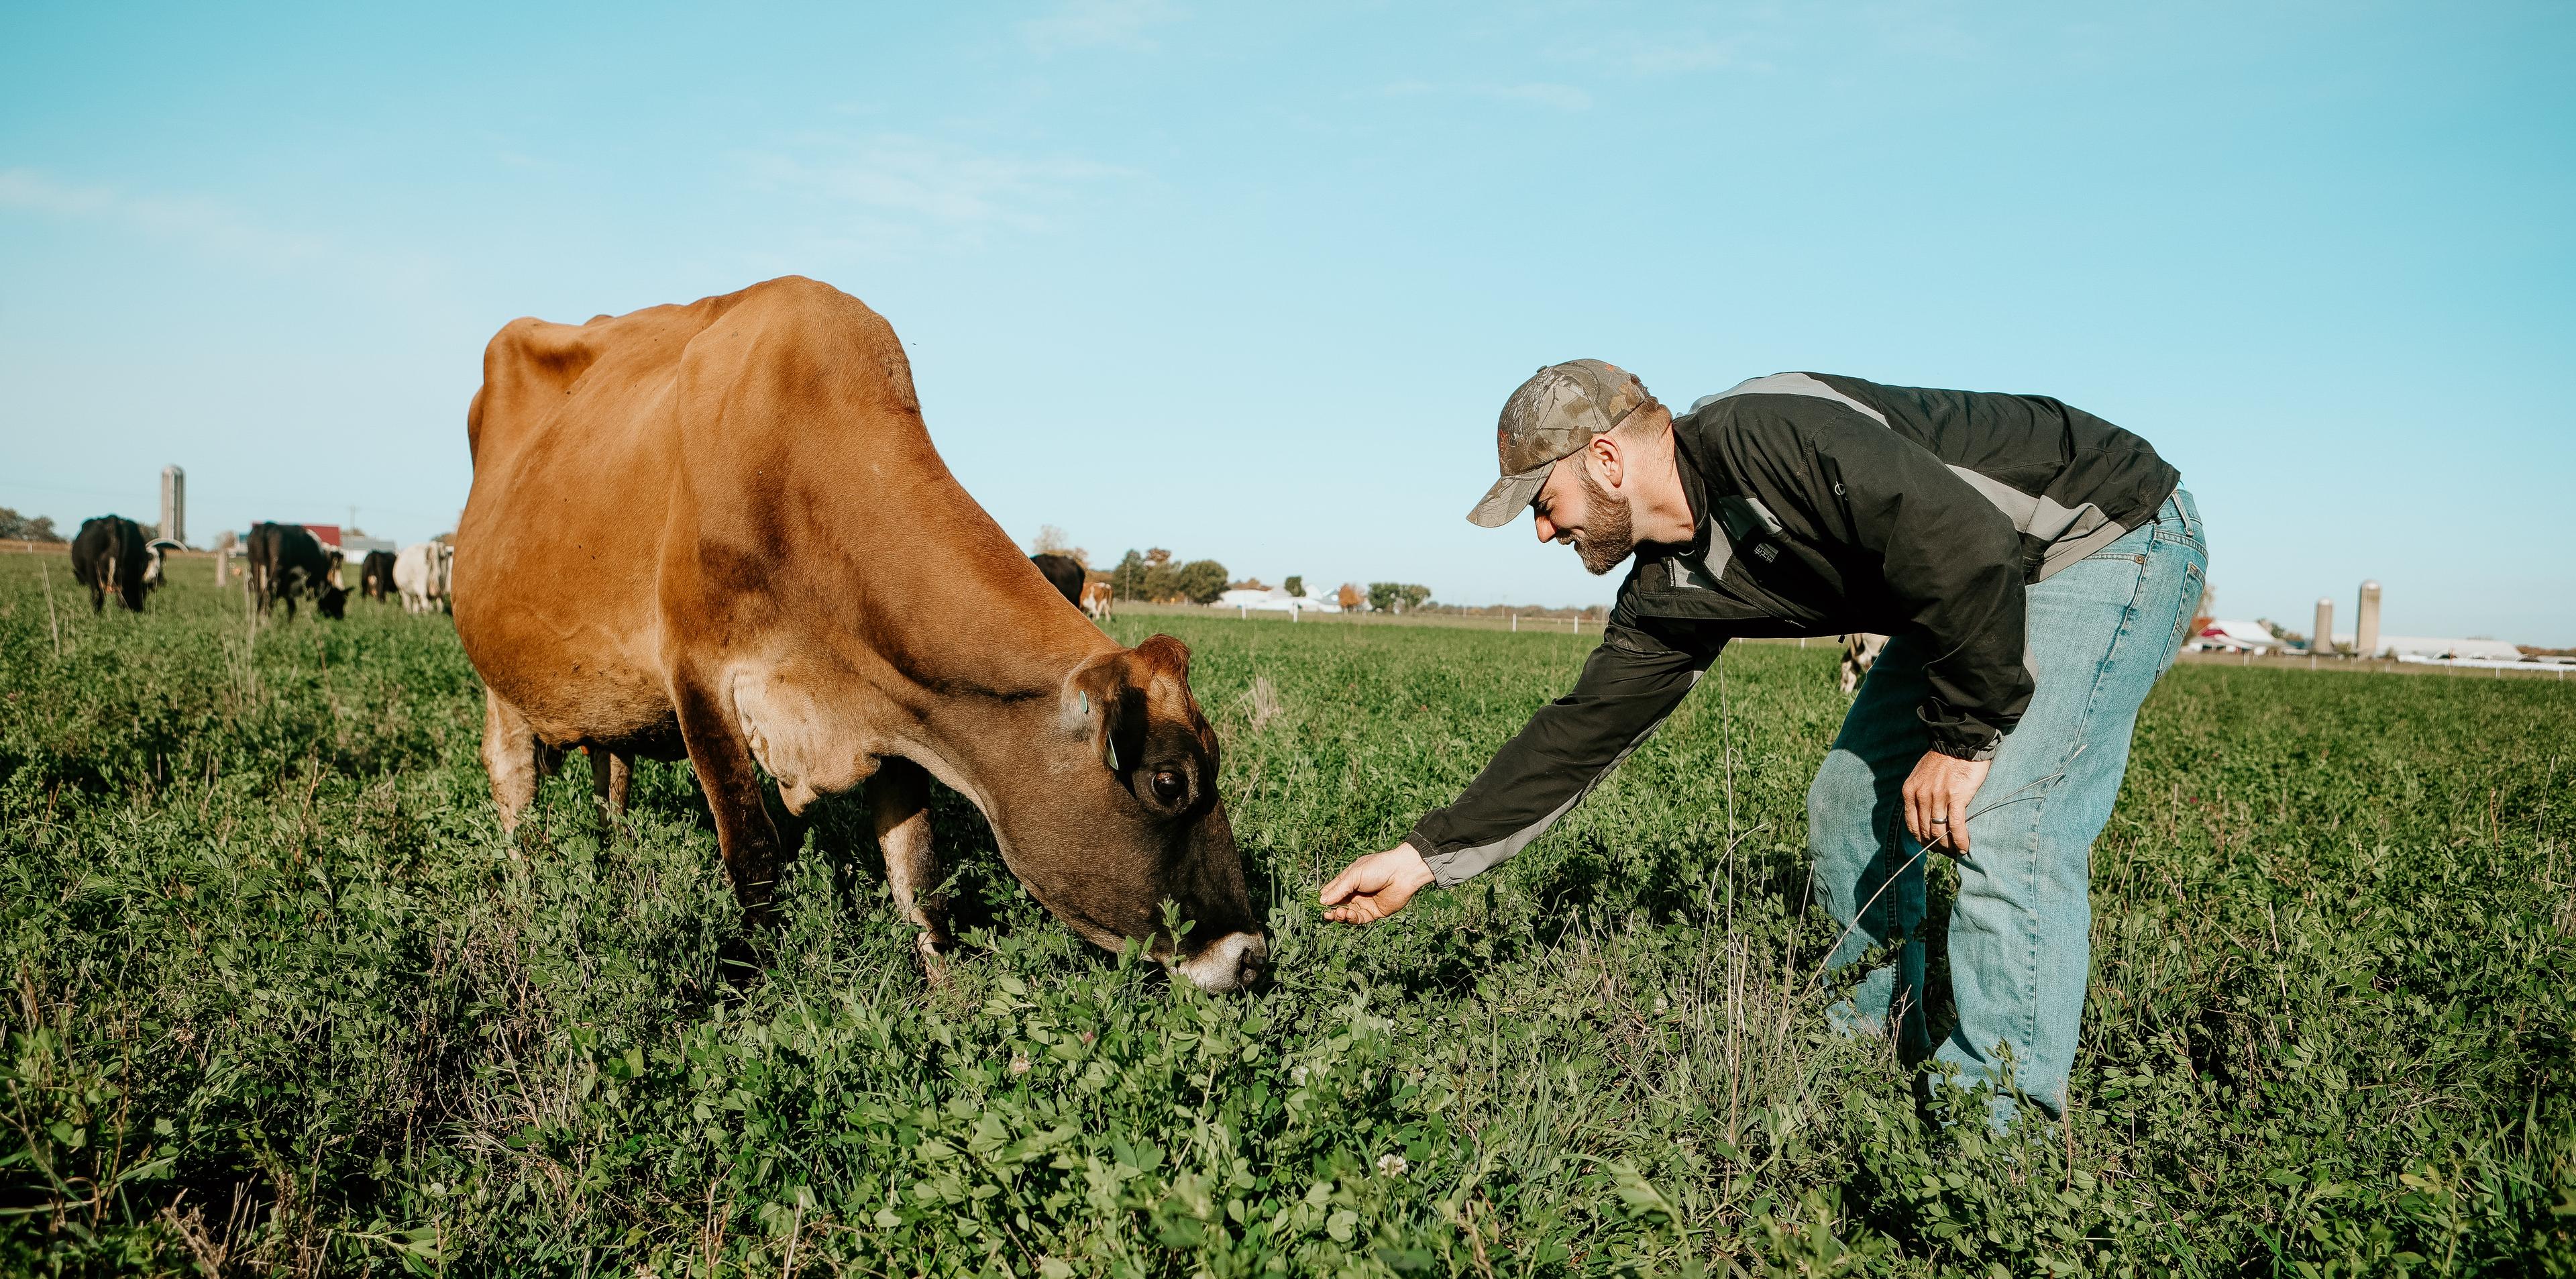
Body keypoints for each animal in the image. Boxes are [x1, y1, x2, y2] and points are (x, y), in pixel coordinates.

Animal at [246, 522, 348, 621]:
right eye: (339, 599)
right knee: (268, 596)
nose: (341, 616)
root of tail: (267, 527)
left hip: (256, 569)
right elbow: (292, 607)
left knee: (260, 594)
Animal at [452, 276, 1266, 991]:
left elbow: (919, 877)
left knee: (609, 777)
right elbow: (754, 856)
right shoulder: (698, 679)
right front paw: (758, 994)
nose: (1252, 957)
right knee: (514, 783)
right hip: (497, 677)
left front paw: (948, 1006)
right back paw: (529, 896)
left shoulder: (902, 706)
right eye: (1168, 782)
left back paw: (616, 872)